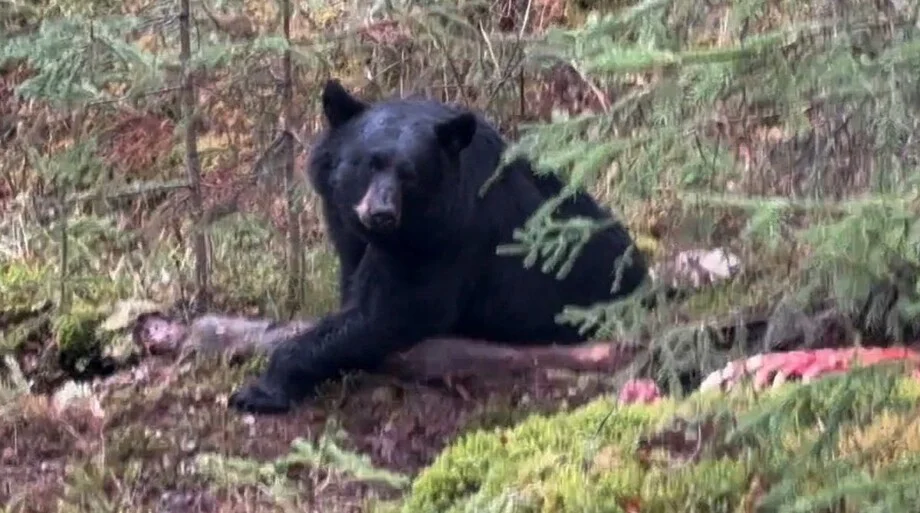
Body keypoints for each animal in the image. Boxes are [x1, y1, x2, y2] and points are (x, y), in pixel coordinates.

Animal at [228, 80, 648, 414]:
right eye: (368, 163)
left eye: (410, 175)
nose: (381, 213)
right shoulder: (351, 234)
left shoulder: (442, 240)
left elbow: (390, 311)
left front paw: (259, 390)